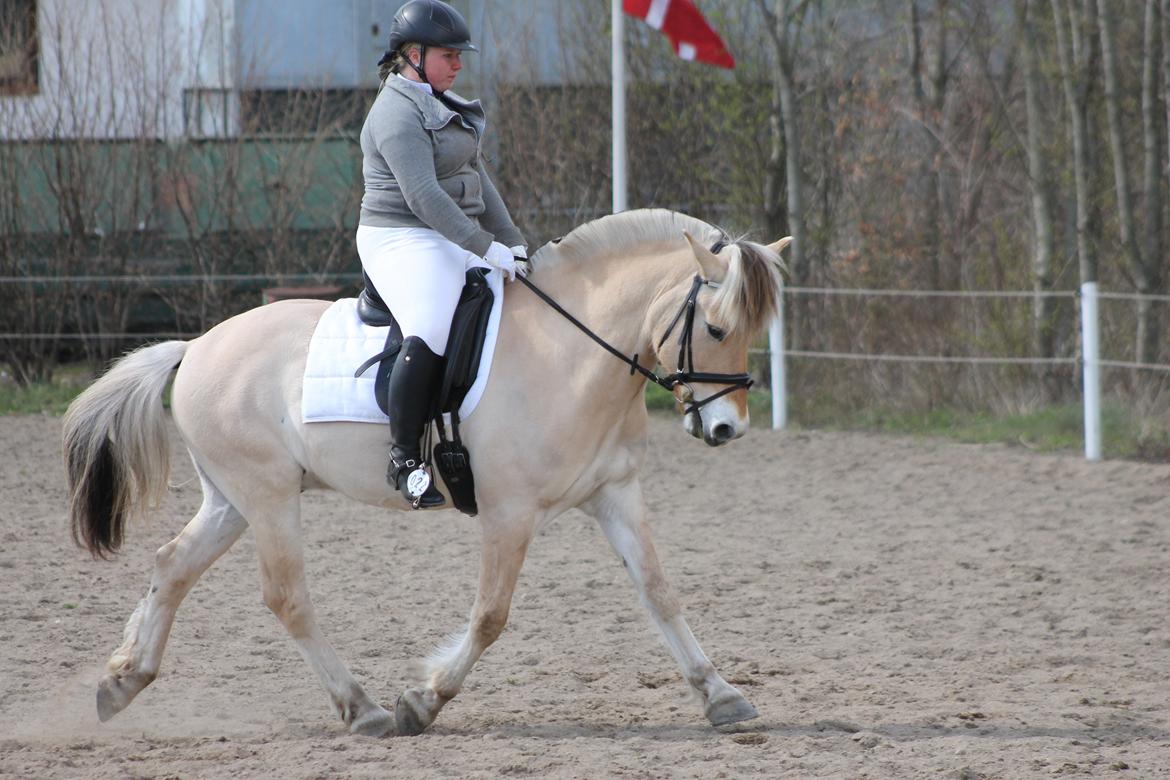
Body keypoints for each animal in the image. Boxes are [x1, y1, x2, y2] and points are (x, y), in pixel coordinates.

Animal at [66, 206, 795, 739]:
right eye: (718, 326)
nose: (728, 429)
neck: (572, 351)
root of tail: (195, 346)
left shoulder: (614, 493)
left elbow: (659, 591)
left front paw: (721, 695)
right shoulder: (510, 512)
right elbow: (492, 615)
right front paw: (423, 700)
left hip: (232, 499)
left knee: (171, 565)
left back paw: (121, 682)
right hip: (267, 497)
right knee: (286, 597)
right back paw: (363, 710)